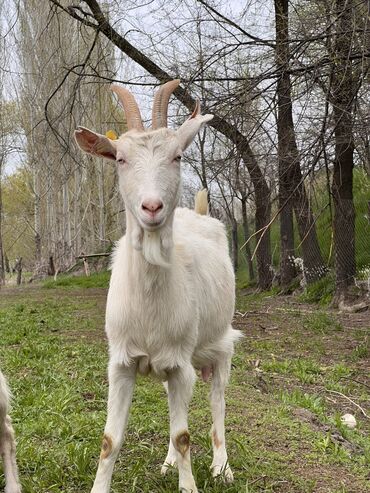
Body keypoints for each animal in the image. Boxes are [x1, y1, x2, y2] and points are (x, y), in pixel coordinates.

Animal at [75, 79, 241, 490]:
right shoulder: (121, 361)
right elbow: (110, 439)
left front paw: (190, 485)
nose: (152, 207)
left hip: (221, 345)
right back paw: (167, 463)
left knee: (218, 402)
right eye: (119, 158)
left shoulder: (181, 363)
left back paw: (222, 467)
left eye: (178, 155)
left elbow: (184, 436)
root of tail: (198, 213)